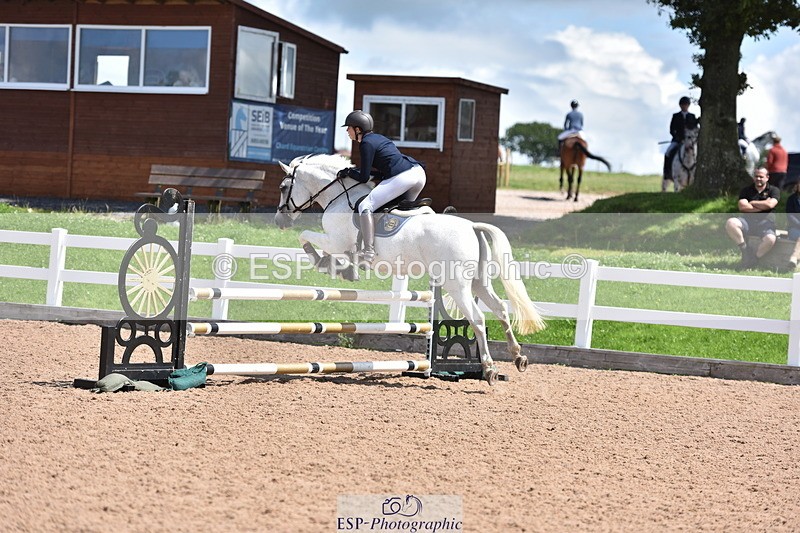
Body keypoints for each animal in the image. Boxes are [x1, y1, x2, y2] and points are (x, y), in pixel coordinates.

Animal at [274, 154, 546, 385]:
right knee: (500, 308)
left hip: (456, 285)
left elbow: (305, 236)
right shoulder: (338, 244)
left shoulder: (335, 241)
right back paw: (518, 357)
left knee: (477, 318)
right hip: (479, 281)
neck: (339, 196)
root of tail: (471, 226)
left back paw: (489, 370)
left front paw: (328, 265)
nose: (279, 221)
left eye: (283, 187)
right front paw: (343, 269)